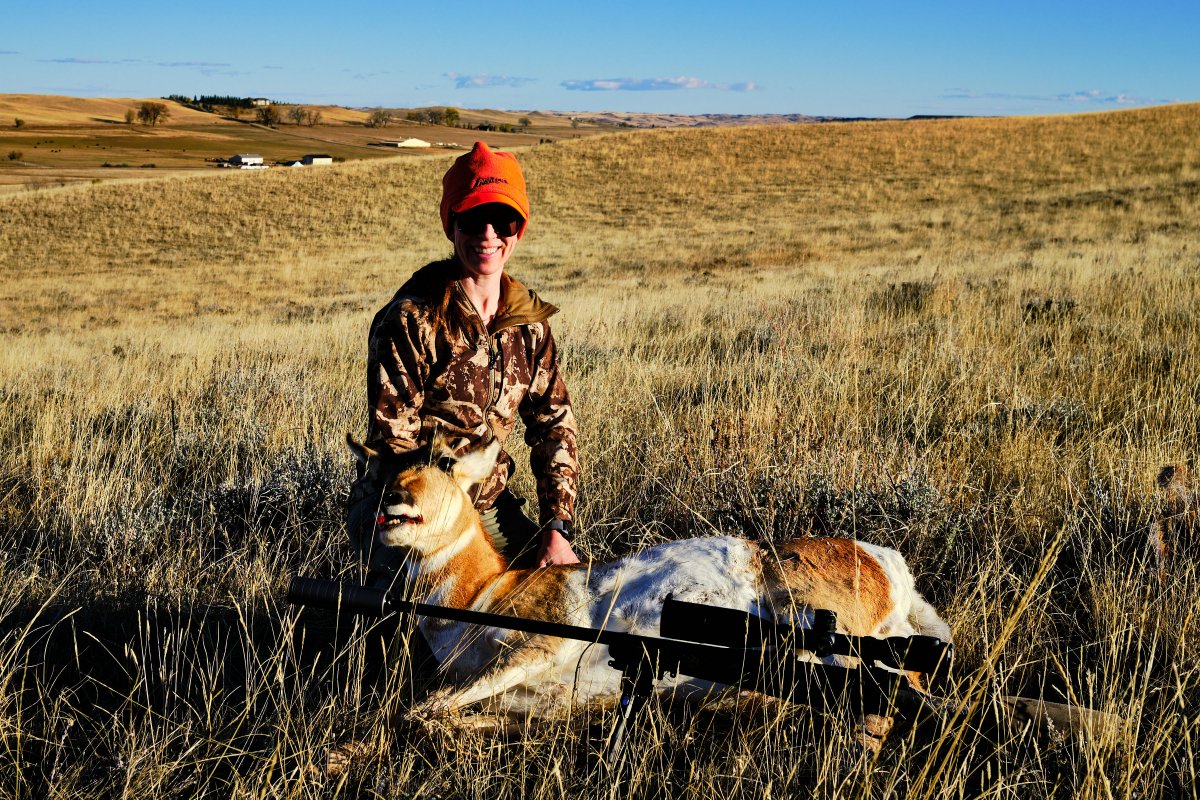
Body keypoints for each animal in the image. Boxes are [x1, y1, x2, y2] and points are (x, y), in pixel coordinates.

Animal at [350, 438, 950, 724]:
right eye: (385, 469)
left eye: (447, 461)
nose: (392, 500)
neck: (487, 591)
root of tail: (883, 559)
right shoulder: (530, 704)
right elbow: (441, 716)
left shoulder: (538, 649)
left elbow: (420, 709)